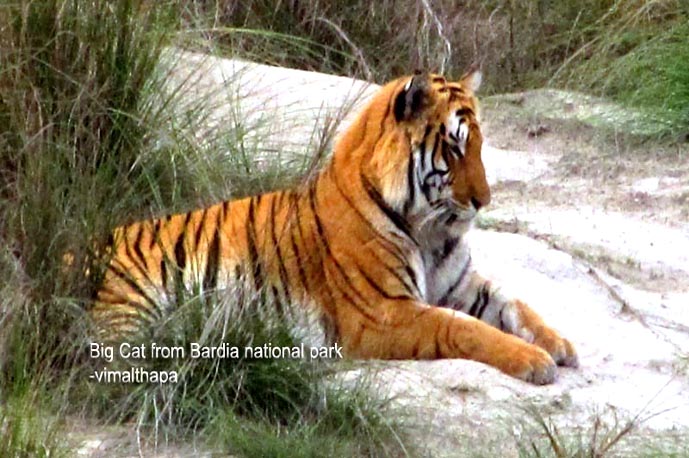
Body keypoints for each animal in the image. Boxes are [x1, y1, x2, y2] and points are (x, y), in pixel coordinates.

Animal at [90, 69, 576, 382]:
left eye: (478, 145)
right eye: (455, 148)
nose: (483, 201)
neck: (430, 230)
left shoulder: (460, 285)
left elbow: (515, 304)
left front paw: (558, 343)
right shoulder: (382, 312)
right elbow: (460, 327)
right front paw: (533, 360)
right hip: (129, 306)